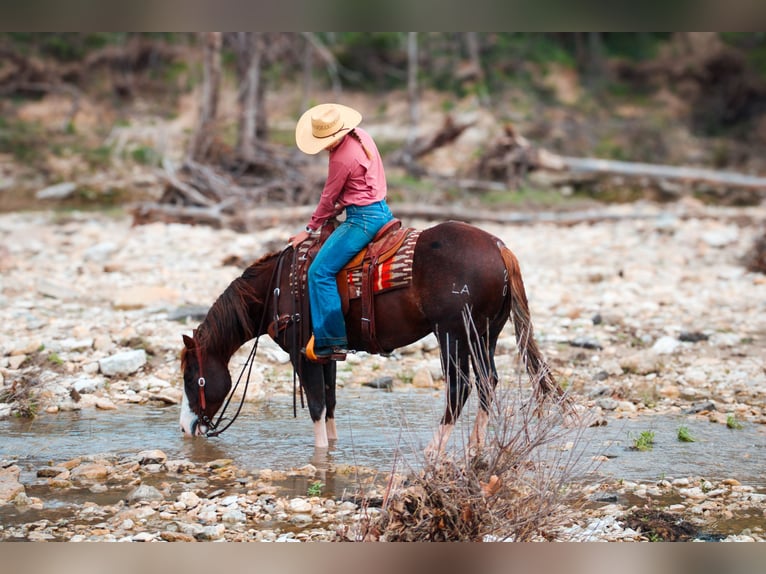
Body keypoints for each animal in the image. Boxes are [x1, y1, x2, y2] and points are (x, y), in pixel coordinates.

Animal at [178, 223, 564, 456]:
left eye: (191, 377)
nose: (185, 427)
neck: (278, 288)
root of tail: (499, 247)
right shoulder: (326, 353)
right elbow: (330, 402)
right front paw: (332, 449)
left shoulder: (300, 354)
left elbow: (316, 405)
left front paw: (320, 455)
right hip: (484, 335)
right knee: (487, 381)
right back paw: (475, 447)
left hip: (452, 334)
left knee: (460, 387)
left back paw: (433, 449)